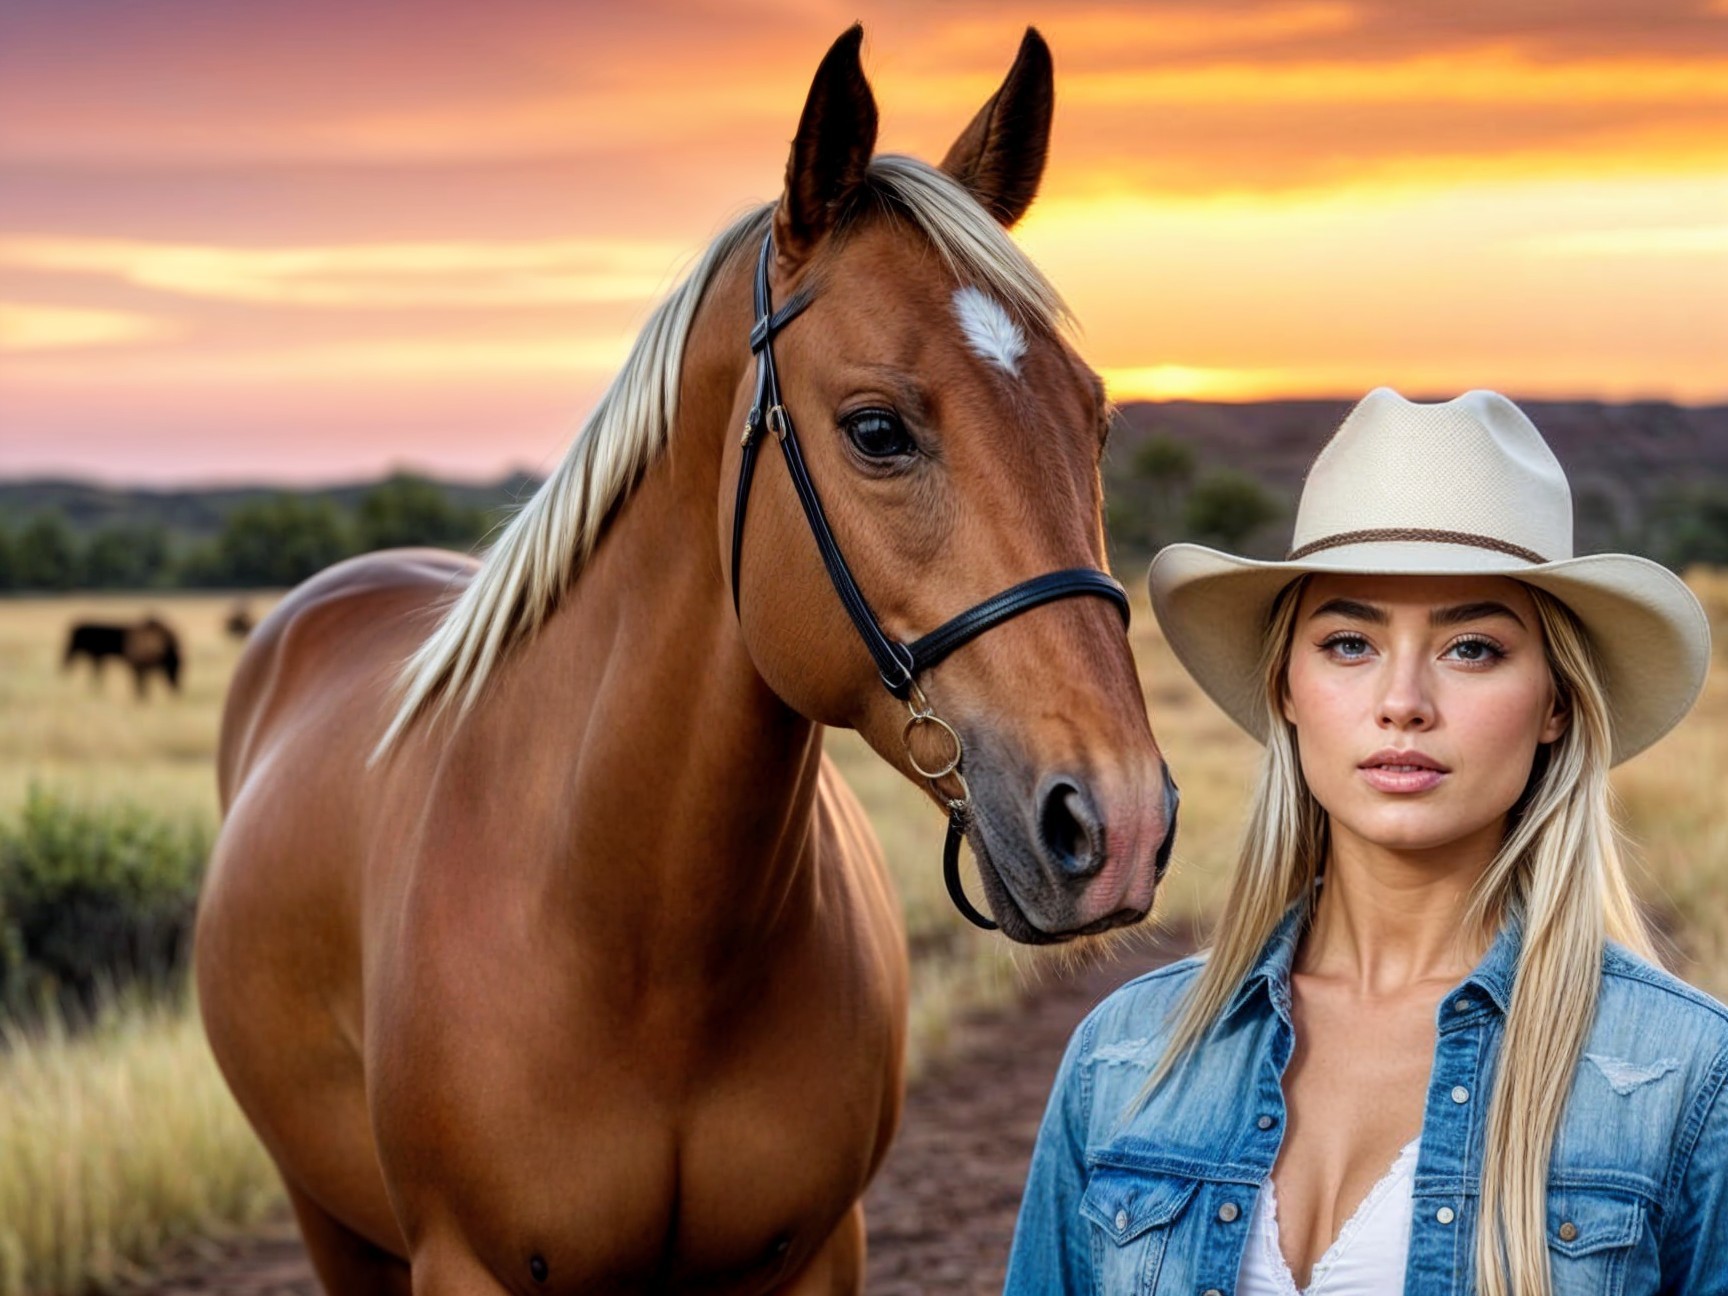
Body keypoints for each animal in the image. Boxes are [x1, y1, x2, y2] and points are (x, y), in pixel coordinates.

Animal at [196, 26, 1177, 1295]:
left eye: (1094, 420)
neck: (643, 944)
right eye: (876, 430)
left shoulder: (815, 1250)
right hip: (331, 1222)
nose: (1120, 822)